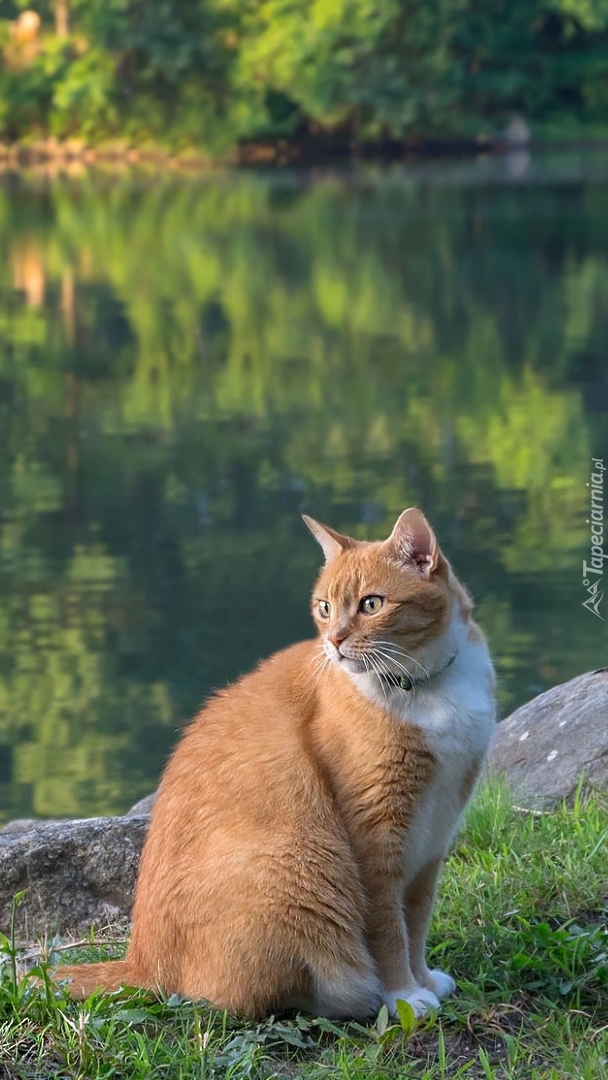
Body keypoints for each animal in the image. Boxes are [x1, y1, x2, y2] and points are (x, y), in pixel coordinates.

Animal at [55, 509, 494, 1015]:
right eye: (324, 607)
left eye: (371, 604)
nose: (335, 641)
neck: (423, 685)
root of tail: (143, 962)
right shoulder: (377, 838)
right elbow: (389, 929)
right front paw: (403, 994)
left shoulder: (433, 838)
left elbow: (416, 921)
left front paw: (422, 979)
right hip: (294, 867)